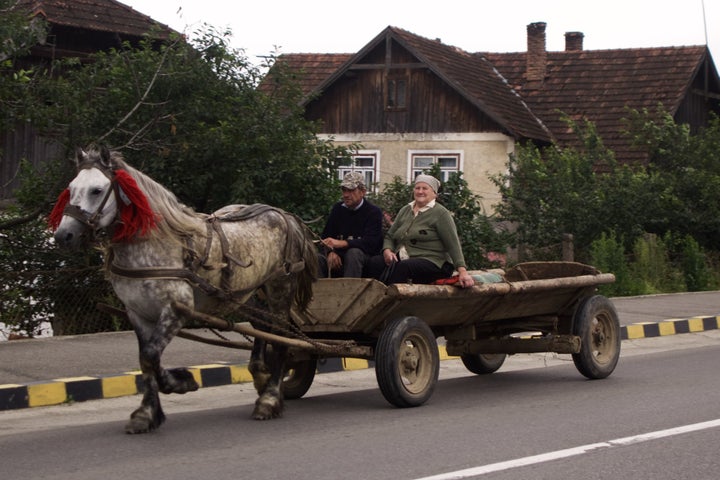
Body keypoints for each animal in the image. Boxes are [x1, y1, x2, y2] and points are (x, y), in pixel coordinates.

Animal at [50, 144, 318, 434]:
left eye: (97, 190)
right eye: (71, 188)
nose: (63, 235)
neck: (156, 244)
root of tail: (283, 214)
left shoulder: (176, 310)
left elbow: (151, 355)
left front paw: (179, 383)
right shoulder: (138, 313)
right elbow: (146, 359)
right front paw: (148, 413)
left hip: (280, 287)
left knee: (281, 340)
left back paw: (268, 400)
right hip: (251, 291)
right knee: (263, 328)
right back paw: (260, 376)